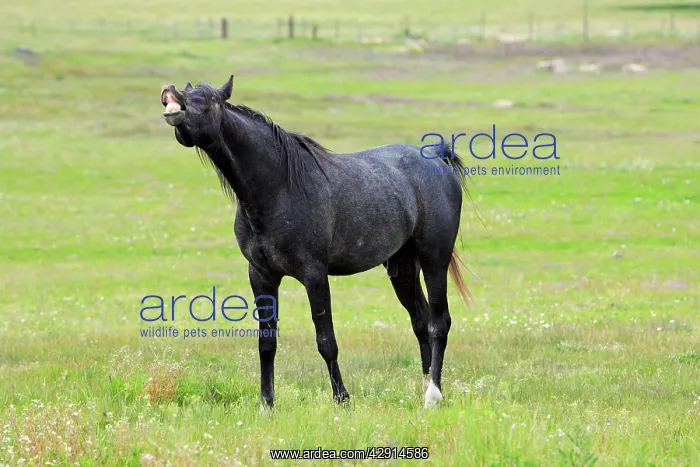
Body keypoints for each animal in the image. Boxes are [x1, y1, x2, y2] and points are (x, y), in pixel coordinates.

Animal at [159, 75, 471, 409]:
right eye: (189, 91)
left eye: (210, 99)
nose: (170, 93)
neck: (280, 188)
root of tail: (437, 158)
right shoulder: (261, 276)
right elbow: (266, 343)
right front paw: (267, 404)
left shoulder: (315, 276)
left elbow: (326, 341)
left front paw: (342, 399)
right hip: (402, 265)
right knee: (421, 321)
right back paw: (424, 386)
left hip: (434, 259)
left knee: (439, 323)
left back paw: (433, 395)